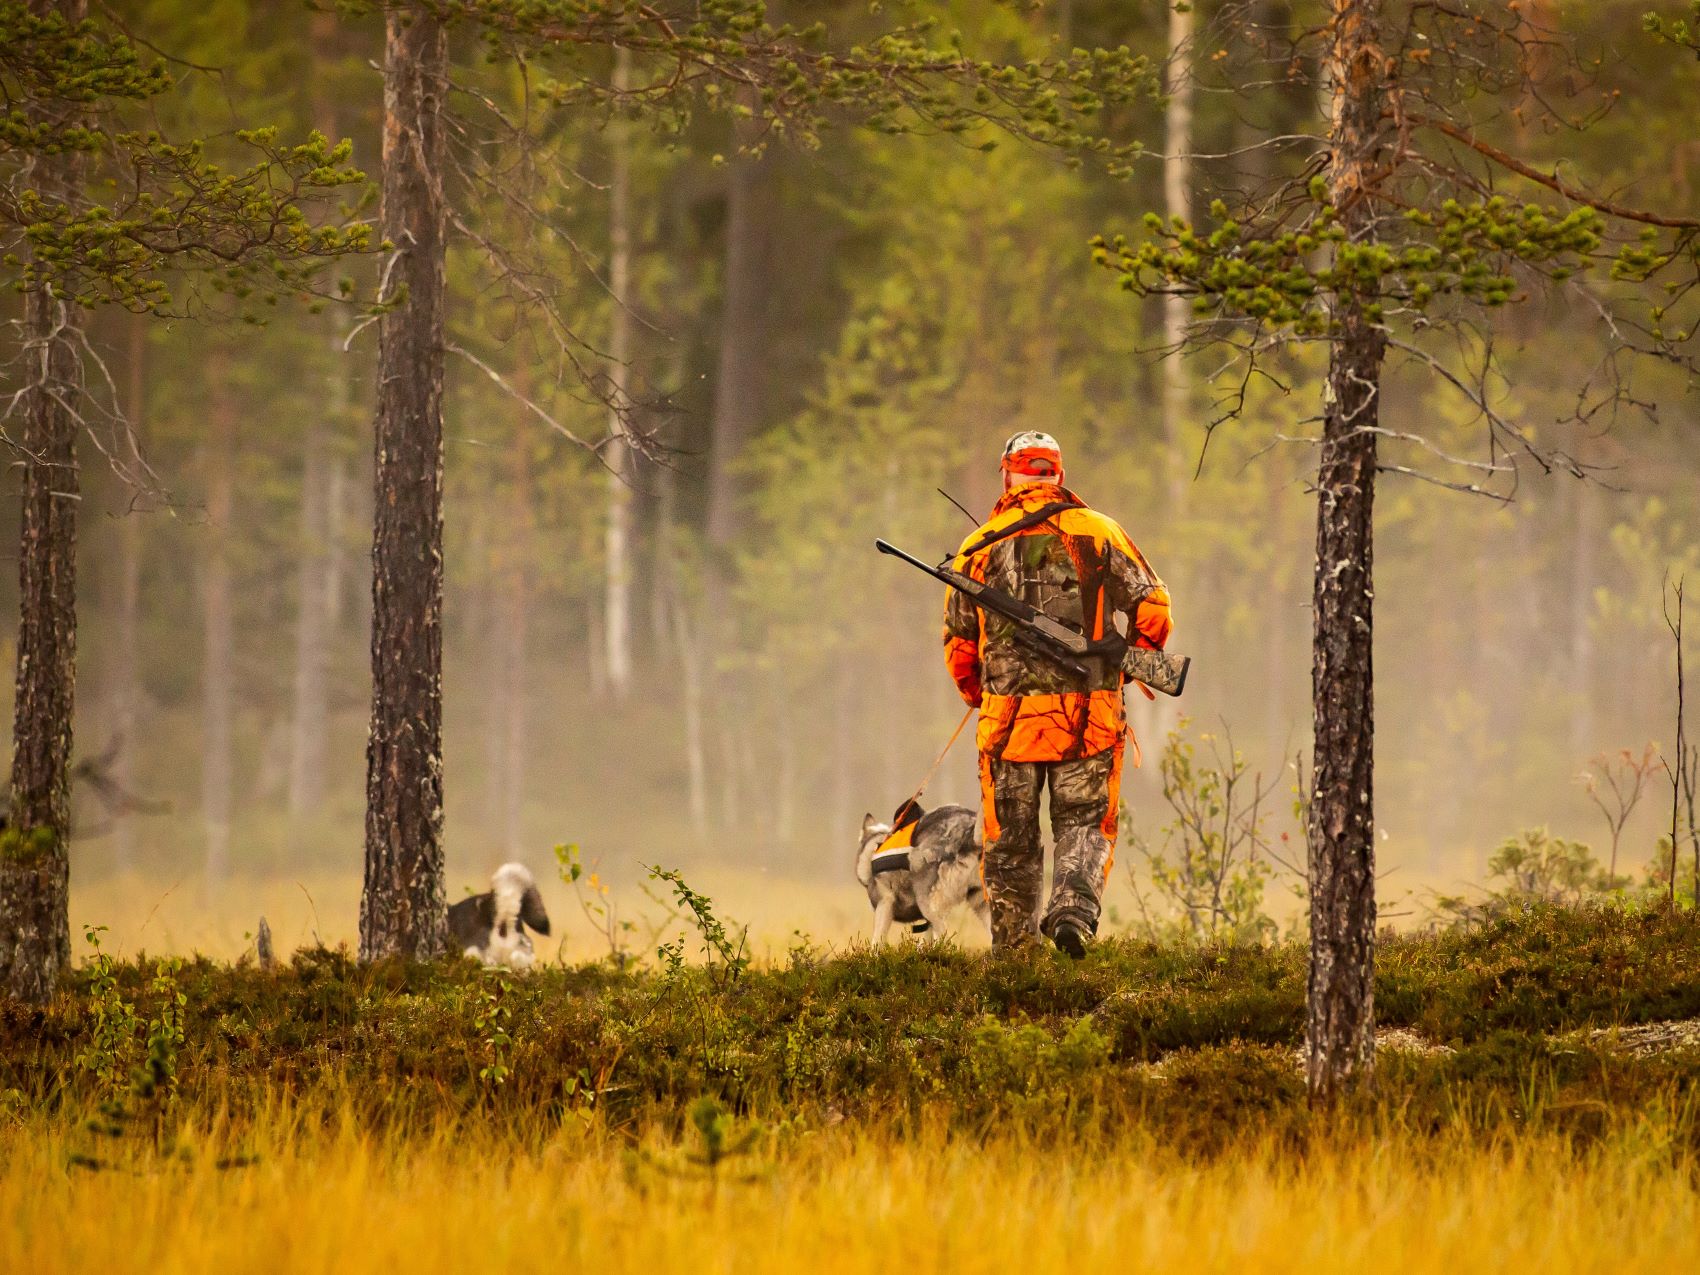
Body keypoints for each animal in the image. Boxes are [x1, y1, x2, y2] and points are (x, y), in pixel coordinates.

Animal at [856, 802, 992, 945]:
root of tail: (969, 834)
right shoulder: (927, 923)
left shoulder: (884, 905)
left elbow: (876, 941)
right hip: (982, 905)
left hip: (929, 906)